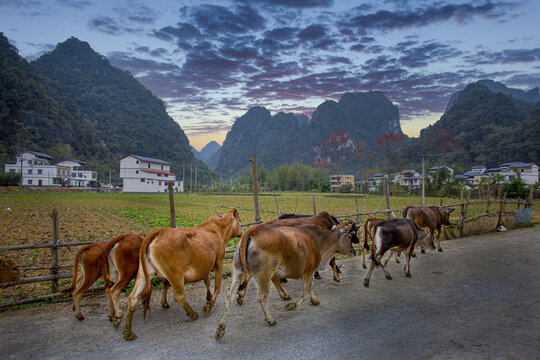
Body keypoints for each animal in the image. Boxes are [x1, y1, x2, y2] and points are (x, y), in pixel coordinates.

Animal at [122, 208, 243, 340]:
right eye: (240, 220)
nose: (242, 232)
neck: (220, 229)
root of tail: (160, 231)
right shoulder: (219, 262)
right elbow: (217, 287)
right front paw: (208, 306)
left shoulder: (205, 266)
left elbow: (207, 282)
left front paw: (208, 297)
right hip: (176, 275)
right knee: (179, 296)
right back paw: (193, 314)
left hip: (144, 274)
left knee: (132, 298)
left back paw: (128, 333)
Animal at [215, 224, 358, 342]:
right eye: (350, 236)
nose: (354, 251)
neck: (320, 240)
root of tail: (252, 231)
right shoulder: (309, 271)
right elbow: (305, 293)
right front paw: (292, 306)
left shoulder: (307, 273)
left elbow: (310, 288)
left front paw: (315, 300)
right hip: (264, 276)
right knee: (262, 298)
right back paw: (270, 319)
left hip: (237, 271)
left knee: (229, 296)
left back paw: (221, 328)